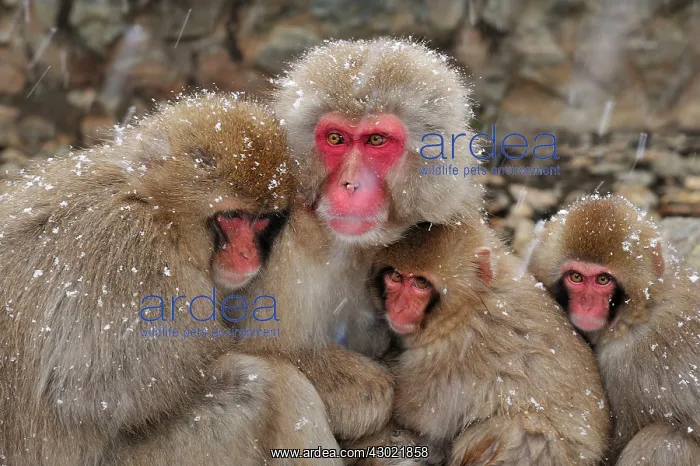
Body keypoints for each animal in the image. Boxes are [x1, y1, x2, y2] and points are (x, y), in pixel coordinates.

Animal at [0, 92, 337, 465]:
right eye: (233, 217)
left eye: (261, 220)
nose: (249, 255)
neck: (159, 212)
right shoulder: (134, 254)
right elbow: (90, 391)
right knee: (262, 384)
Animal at [366, 219, 611, 465]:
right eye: (396, 277)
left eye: (420, 283)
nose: (398, 307)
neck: (469, 304)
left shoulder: (452, 354)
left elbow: (416, 414)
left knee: (517, 429)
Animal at [529, 194, 700, 465]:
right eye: (575, 277)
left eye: (603, 280)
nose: (587, 305)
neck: (639, 313)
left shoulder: (630, 365)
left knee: (665, 441)